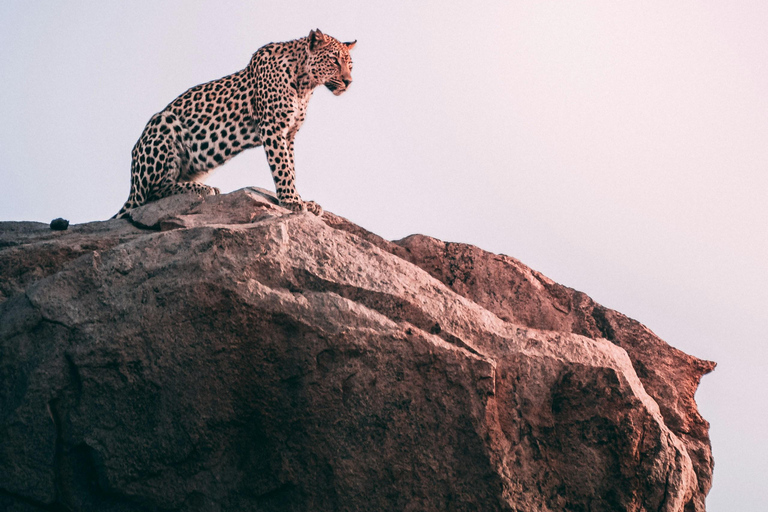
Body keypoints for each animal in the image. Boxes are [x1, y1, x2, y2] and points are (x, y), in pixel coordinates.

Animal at [113, 29, 356, 218]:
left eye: (350, 65)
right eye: (334, 60)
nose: (349, 82)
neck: (305, 84)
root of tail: (132, 186)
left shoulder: (289, 134)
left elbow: (291, 167)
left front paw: (301, 200)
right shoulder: (273, 128)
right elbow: (282, 167)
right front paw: (292, 201)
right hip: (164, 123)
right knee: (152, 193)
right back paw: (202, 188)